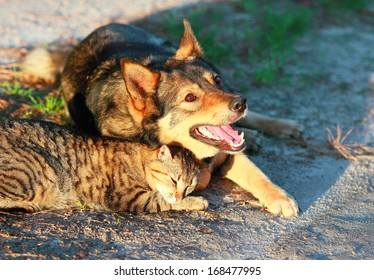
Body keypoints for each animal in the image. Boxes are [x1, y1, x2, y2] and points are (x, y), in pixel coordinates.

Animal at [0, 119, 207, 213]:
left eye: (189, 186)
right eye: (173, 180)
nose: (180, 194)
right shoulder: (132, 197)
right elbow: (165, 201)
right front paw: (197, 201)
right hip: (37, 168)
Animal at [21, 20, 304, 217]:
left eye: (217, 80)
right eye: (190, 97)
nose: (240, 102)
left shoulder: (228, 152)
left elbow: (257, 173)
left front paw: (279, 197)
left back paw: (279, 127)